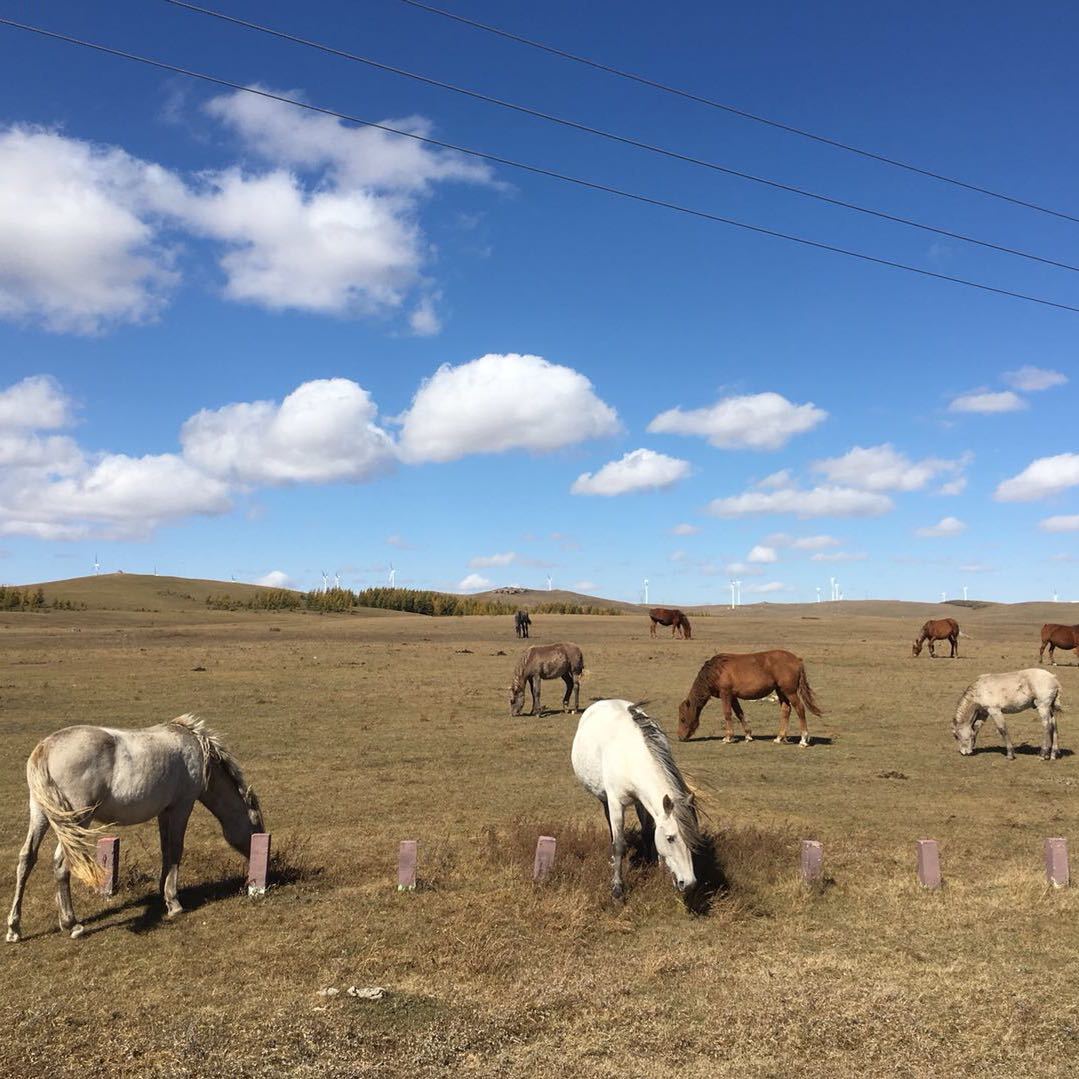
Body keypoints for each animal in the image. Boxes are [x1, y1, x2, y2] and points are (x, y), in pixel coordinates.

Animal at [6, 716, 261, 945]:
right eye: (256, 823)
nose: (261, 859)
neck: (197, 751)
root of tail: (46, 747)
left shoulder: (165, 812)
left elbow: (166, 851)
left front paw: (164, 894)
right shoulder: (181, 807)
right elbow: (176, 849)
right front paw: (174, 903)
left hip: (40, 814)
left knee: (27, 859)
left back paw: (14, 928)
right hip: (77, 821)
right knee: (61, 863)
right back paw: (72, 924)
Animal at [574, 694, 699, 897]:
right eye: (670, 838)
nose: (689, 884)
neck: (629, 755)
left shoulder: (643, 802)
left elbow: (648, 833)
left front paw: (655, 869)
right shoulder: (616, 803)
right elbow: (618, 844)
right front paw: (617, 888)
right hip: (604, 797)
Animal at [677, 651, 820, 746]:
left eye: (683, 719)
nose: (680, 737)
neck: (716, 671)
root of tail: (797, 660)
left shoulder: (725, 694)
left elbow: (727, 714)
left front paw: (728, 737)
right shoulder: (733, 697)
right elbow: (739, 714)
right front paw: (748, 735)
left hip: (790, 691)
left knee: (800, 709)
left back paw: (803, 739)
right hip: (781, 691)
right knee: (786, 710)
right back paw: (779, 737)